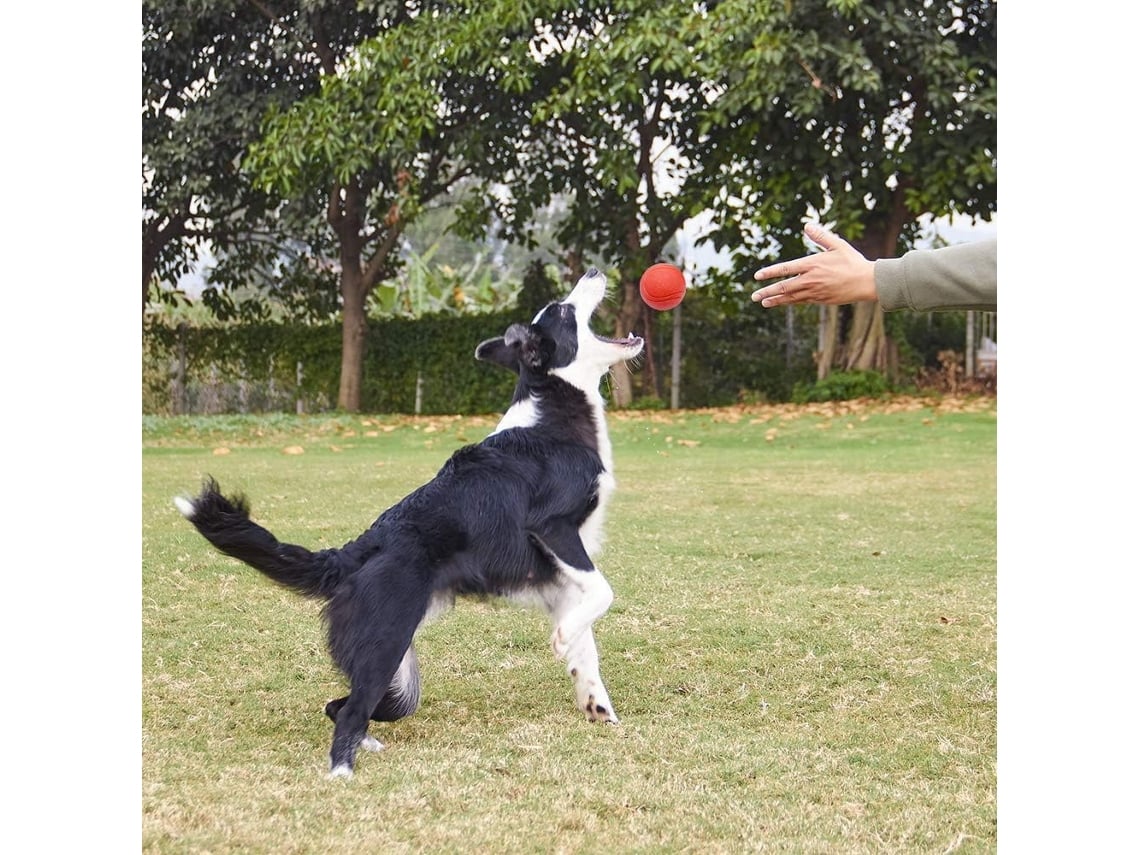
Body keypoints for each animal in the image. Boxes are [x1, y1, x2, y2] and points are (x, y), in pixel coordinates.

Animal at [173, 269, 647, 784]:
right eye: (562, 310)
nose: (594, 272)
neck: (552, 414)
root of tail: (352, 554)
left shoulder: (558, 576)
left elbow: (588, 644)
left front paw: (596, 703)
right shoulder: (555, 528)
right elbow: (603, 593)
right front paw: (564, 640)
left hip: (397, 676)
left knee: (340, 706)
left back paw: (367, 743)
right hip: (384, 649)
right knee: (350, 711)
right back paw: (342, 774)